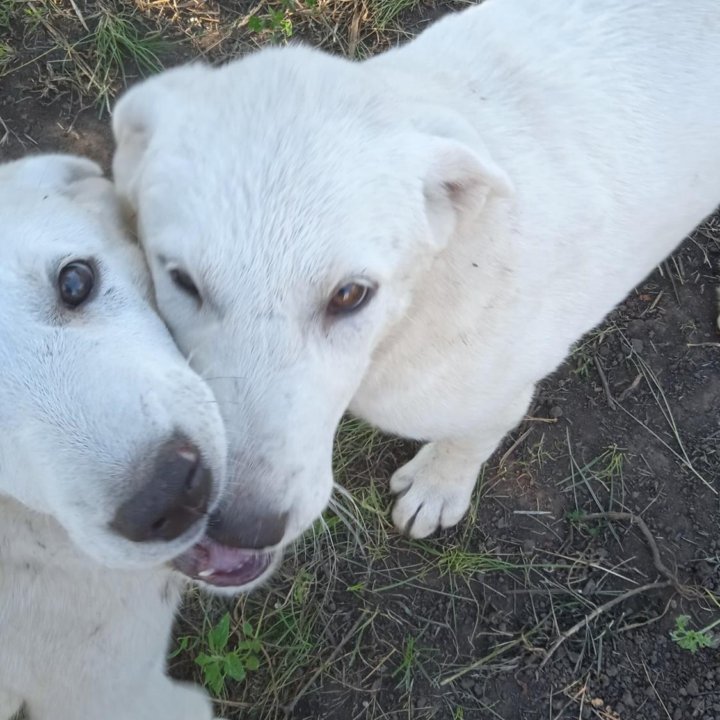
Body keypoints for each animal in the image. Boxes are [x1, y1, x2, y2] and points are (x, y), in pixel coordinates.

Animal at [111, 0, 720, 556]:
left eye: (351, 295)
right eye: (182, 281)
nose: (239, 530)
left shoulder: (501, 392)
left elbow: (472, 438)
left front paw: (437, 486)